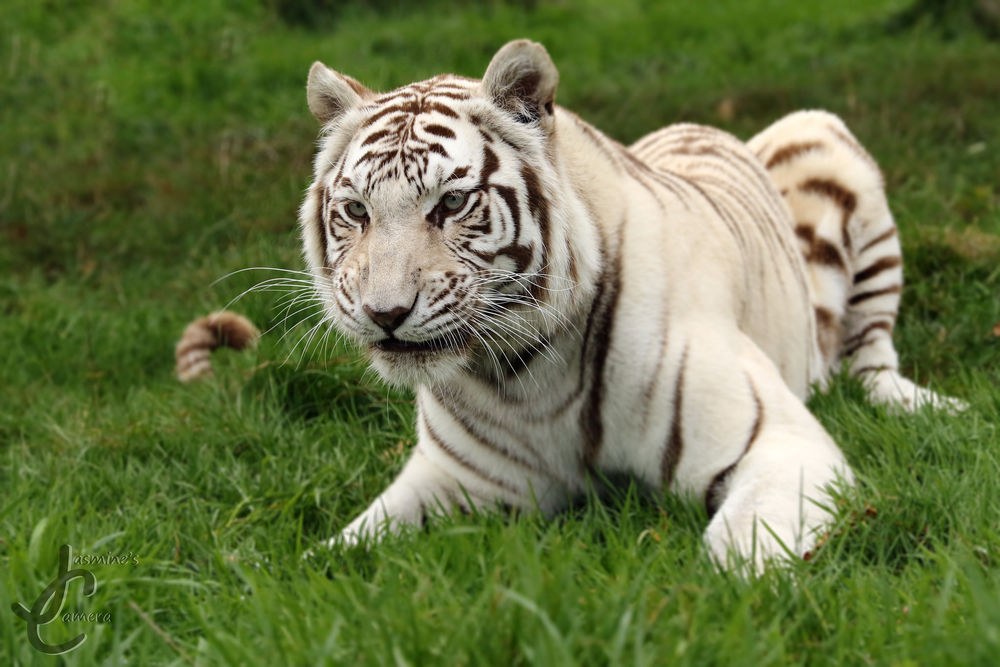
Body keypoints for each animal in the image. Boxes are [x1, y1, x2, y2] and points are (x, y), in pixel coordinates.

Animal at [254, 39, 962, 570]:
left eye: (451, 203)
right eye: (355, 211)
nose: (385, 313)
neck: (525, 373)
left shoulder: (782, 445)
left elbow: (737, 559)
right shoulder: (458, 480)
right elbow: (333, 553)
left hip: (824, 139)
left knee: (870, 354)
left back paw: (929, 407)